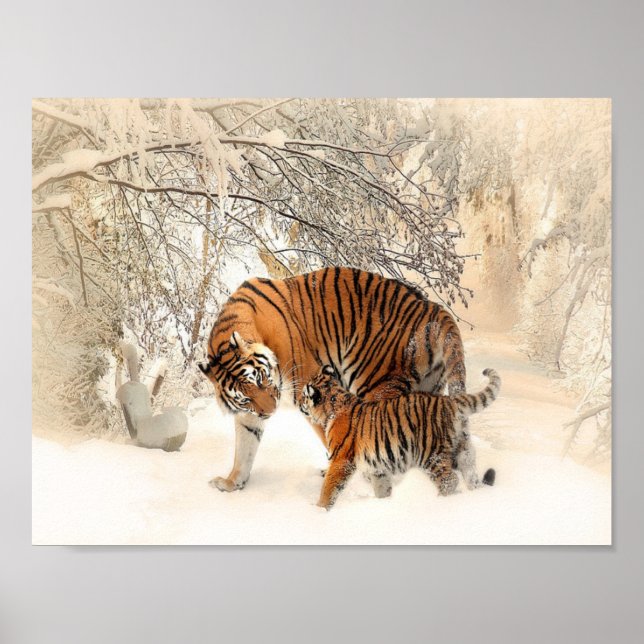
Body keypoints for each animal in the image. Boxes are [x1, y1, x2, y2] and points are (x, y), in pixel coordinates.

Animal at [199, 267, 474, 494]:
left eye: (260, 379)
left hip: (376, 384)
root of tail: (433, 308)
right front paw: (232, 483)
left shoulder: (310, 390)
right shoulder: (249, 415)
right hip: (428, 390)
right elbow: (244, 448)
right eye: (245, 398)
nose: (270, 412)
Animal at [299, 365, 500, 510]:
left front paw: (320, 510)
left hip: (431, 454)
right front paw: (383, 503)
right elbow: (382, 487)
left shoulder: (341, 460)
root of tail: (449, 401)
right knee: (470, 473)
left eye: (304, 395)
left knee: (449, 480)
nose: (300, 403)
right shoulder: (377, 466)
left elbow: (329, 487)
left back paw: (440, 502)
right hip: (463, 449)